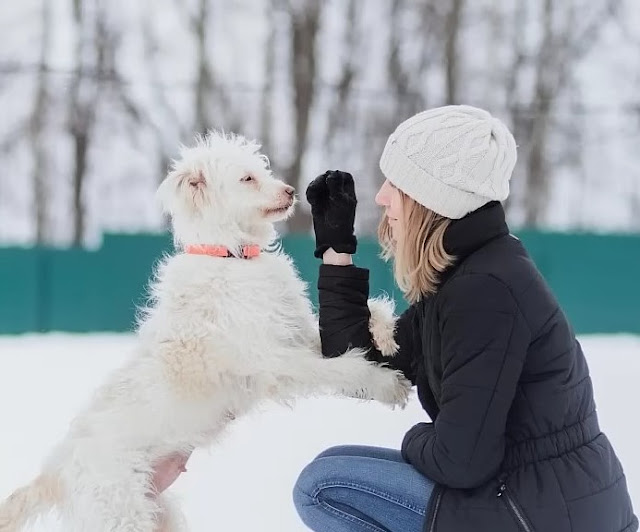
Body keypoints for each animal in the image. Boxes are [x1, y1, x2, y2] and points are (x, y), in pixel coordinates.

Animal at [0, 131, 410, 528]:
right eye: (247, 179)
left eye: (262, 170)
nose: (292, 191)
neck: (232, 256)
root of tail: (57, 472)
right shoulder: (274, 361)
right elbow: (340, 368)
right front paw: (385, 384)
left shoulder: (295, 332)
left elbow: (357, 323)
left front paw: (386, 332)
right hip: (123, 515)